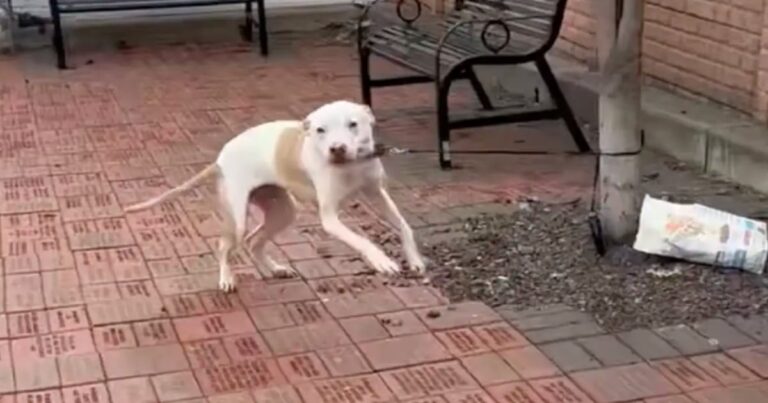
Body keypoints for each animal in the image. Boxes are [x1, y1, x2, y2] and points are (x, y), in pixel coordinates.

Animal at [125, 100, 426, 292]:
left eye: (353, 124)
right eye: (320, 130)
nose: (337, 148)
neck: (350, 166)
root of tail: (220, 160)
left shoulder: (378, 194)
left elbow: (404, 226)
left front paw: (414, 259)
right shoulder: (330, 218)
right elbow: (362, 240)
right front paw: (382, 260)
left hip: (283, 212)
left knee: (254, 241)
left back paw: (273, 269)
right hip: (237, 218)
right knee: (225, 246)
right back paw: (227, 278)